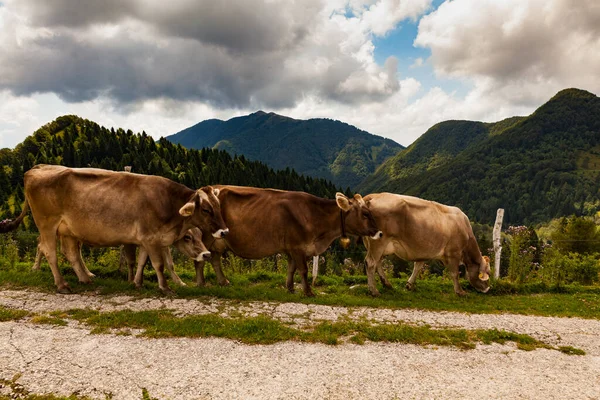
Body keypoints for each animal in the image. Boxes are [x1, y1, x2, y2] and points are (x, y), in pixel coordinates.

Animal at [0, 164, 227, 292]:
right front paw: (165, 287)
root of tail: (34, 170)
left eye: (218, 206)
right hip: (47, 224)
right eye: (206, 209)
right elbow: (159, 264)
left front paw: (137, 283)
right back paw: (62, 285)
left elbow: (142, 261)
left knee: (71, 253)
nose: (224, 232)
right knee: (49, 252)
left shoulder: (146, 239)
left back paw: (85, 279)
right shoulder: (151, 238)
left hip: (68, 230)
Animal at [193, 186, 380, 296]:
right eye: (365, 213)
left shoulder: (292, 248)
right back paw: (201, 284)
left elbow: (291, 269)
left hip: (218, 241)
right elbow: (303, 270)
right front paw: (308, 292)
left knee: (215, 259)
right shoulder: (298, 246)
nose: (379, 233)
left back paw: (223, 282)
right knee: (200, 260)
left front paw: (290, 287)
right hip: (206, 237)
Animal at [358, 194, 490, 296]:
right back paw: (374, 291)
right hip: (379, 241)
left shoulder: (423, 252)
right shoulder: (453, 253)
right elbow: (454, 273)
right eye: (487, 273)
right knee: (371, 262)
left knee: (378, 262)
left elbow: (417, 267)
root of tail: (373, 196)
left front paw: (409, 285)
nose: (488, 289)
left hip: (376, 244)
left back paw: (387, 284)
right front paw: (460, 291)